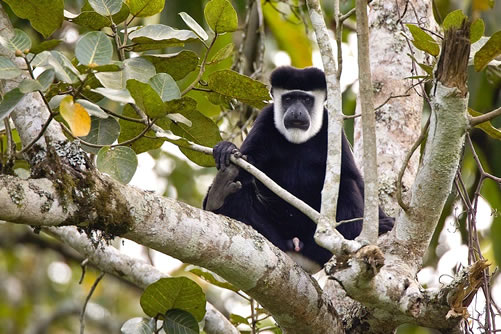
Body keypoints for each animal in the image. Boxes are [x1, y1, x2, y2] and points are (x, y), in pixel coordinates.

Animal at [204, 66, 394, 272]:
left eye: (306, 100)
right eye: (288, 99)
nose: (296, 112)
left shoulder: (331, 128)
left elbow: (353, 176)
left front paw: (384, 221)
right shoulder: (265, 120)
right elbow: (249, 162)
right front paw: (227, 148)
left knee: (347, 185)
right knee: (241, 185)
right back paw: (218, 194)